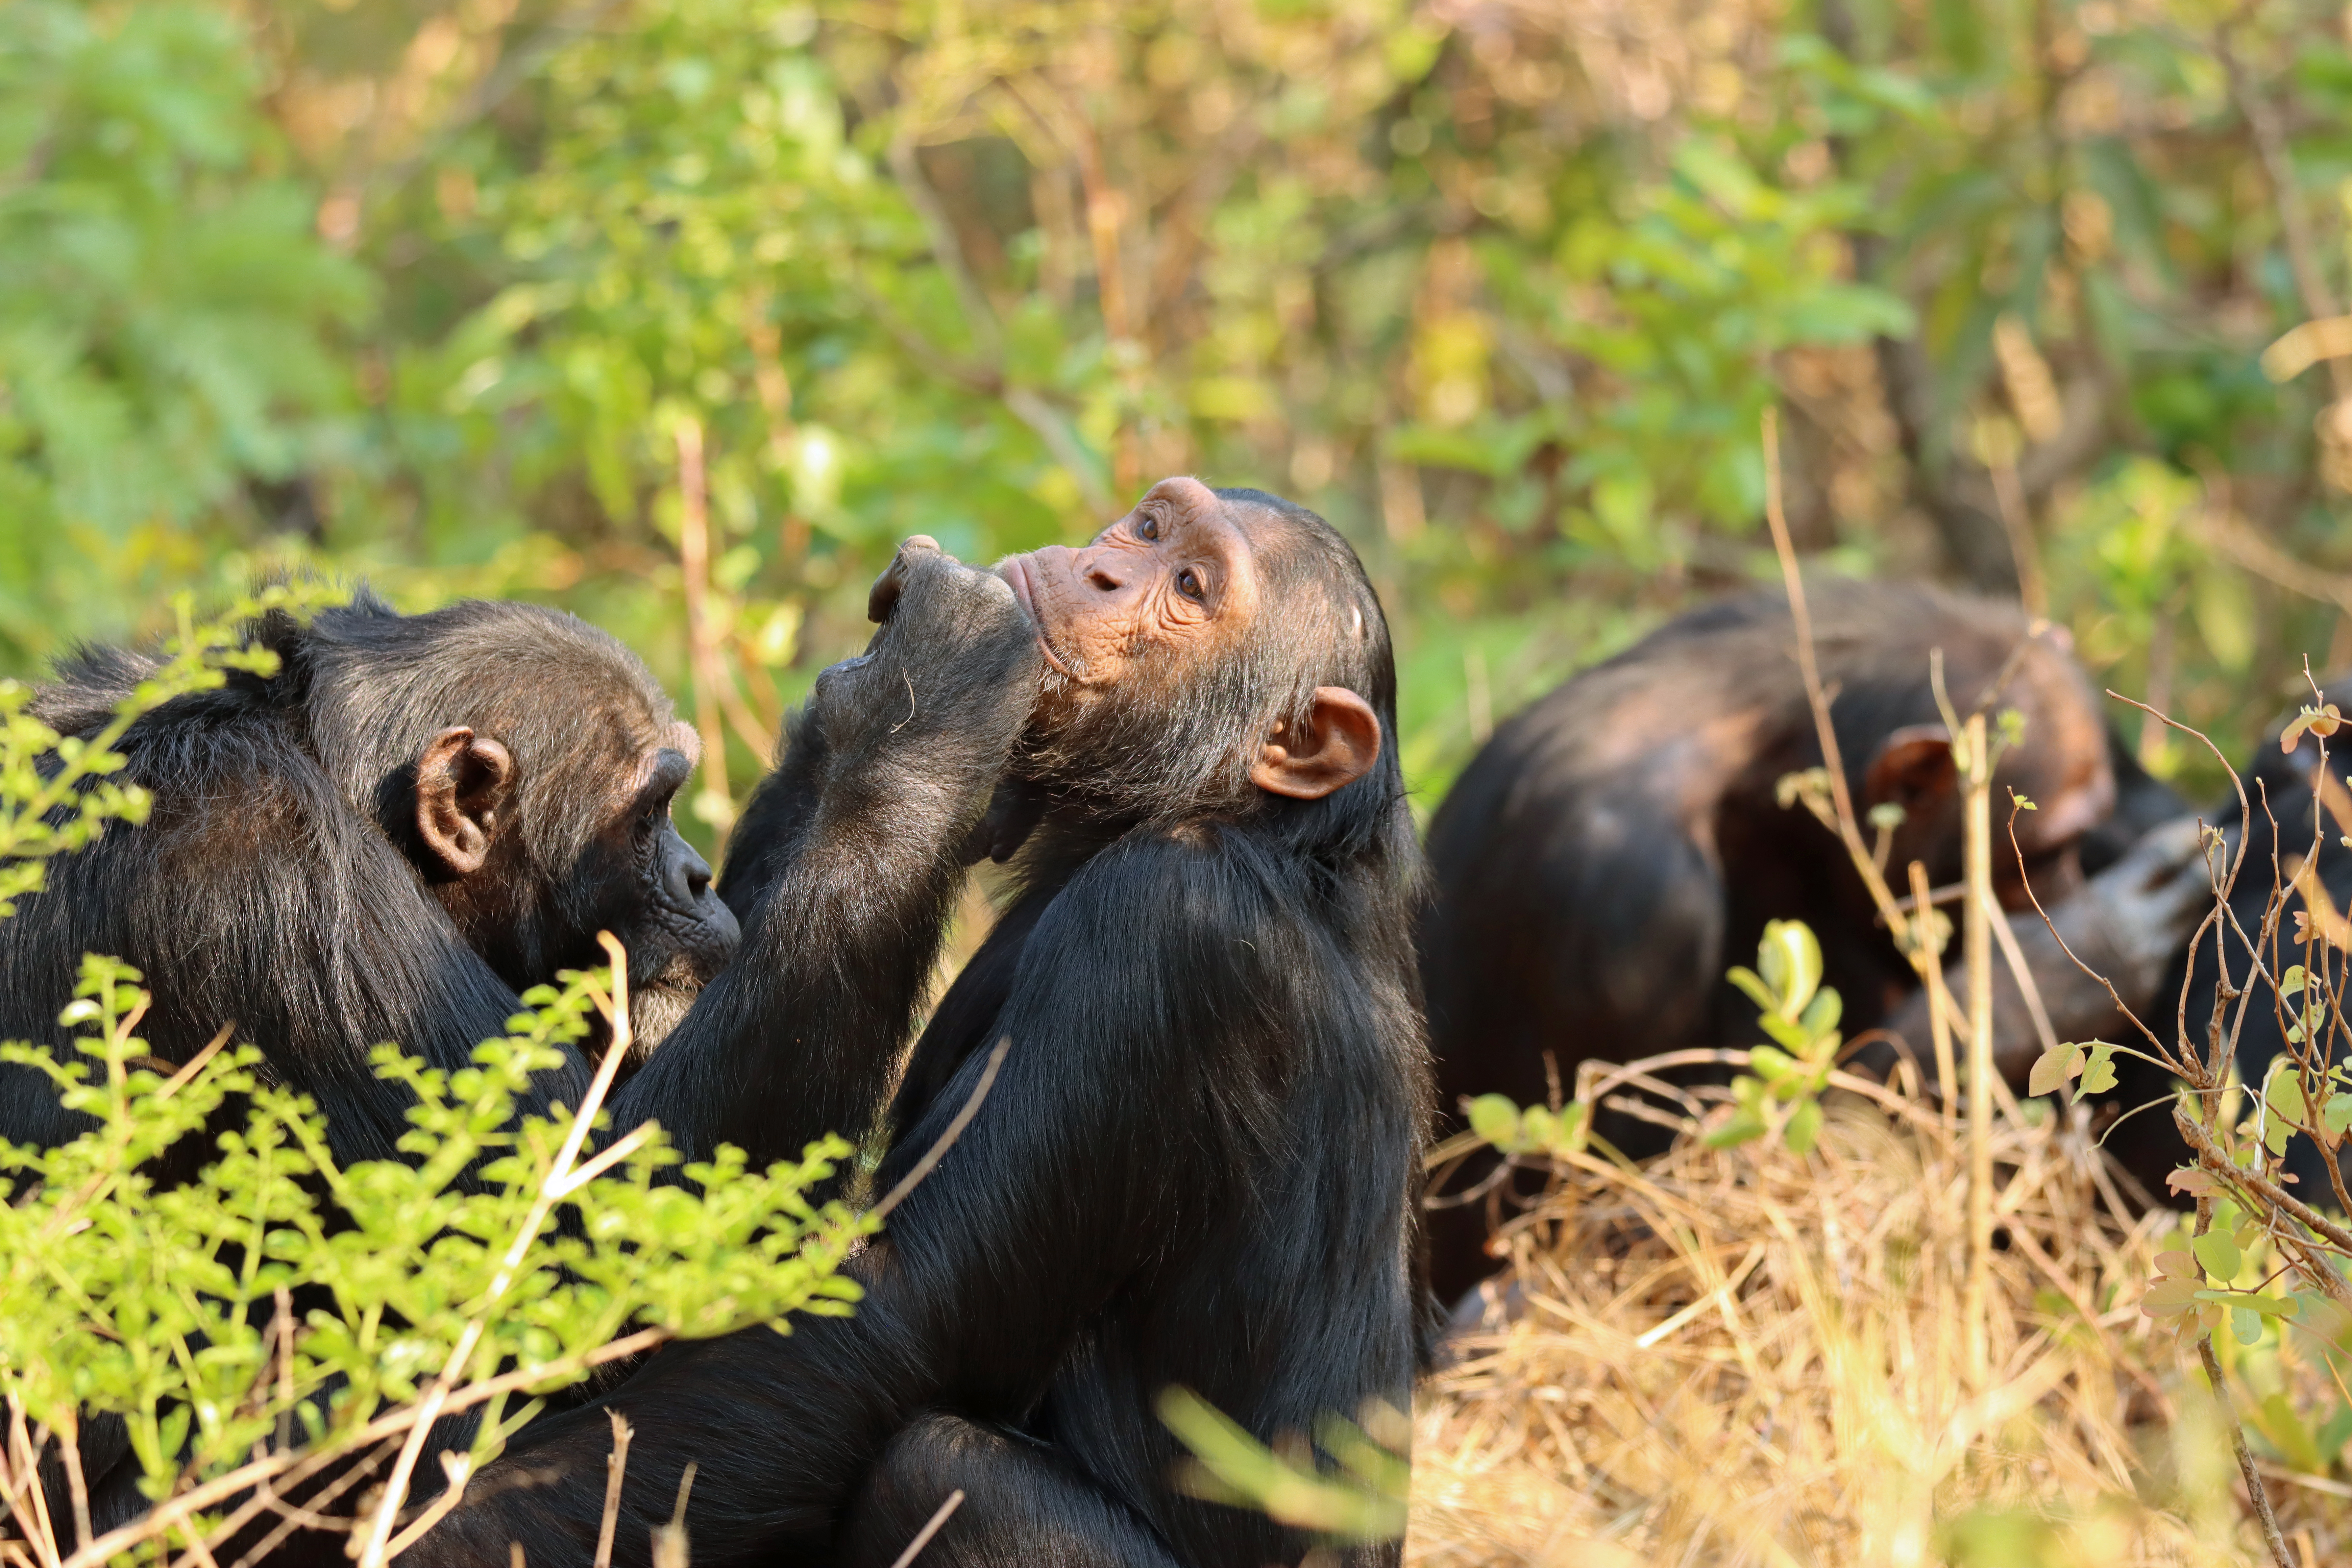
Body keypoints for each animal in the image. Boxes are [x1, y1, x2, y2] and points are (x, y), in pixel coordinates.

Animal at [409, 475, 1430, 1568]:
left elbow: (897, 1297)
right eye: (1149, 529)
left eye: (1191, 586)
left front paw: (936, 671)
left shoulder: (1167, 930)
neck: (1238, 816)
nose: (1102, 567)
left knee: (943, 1469)